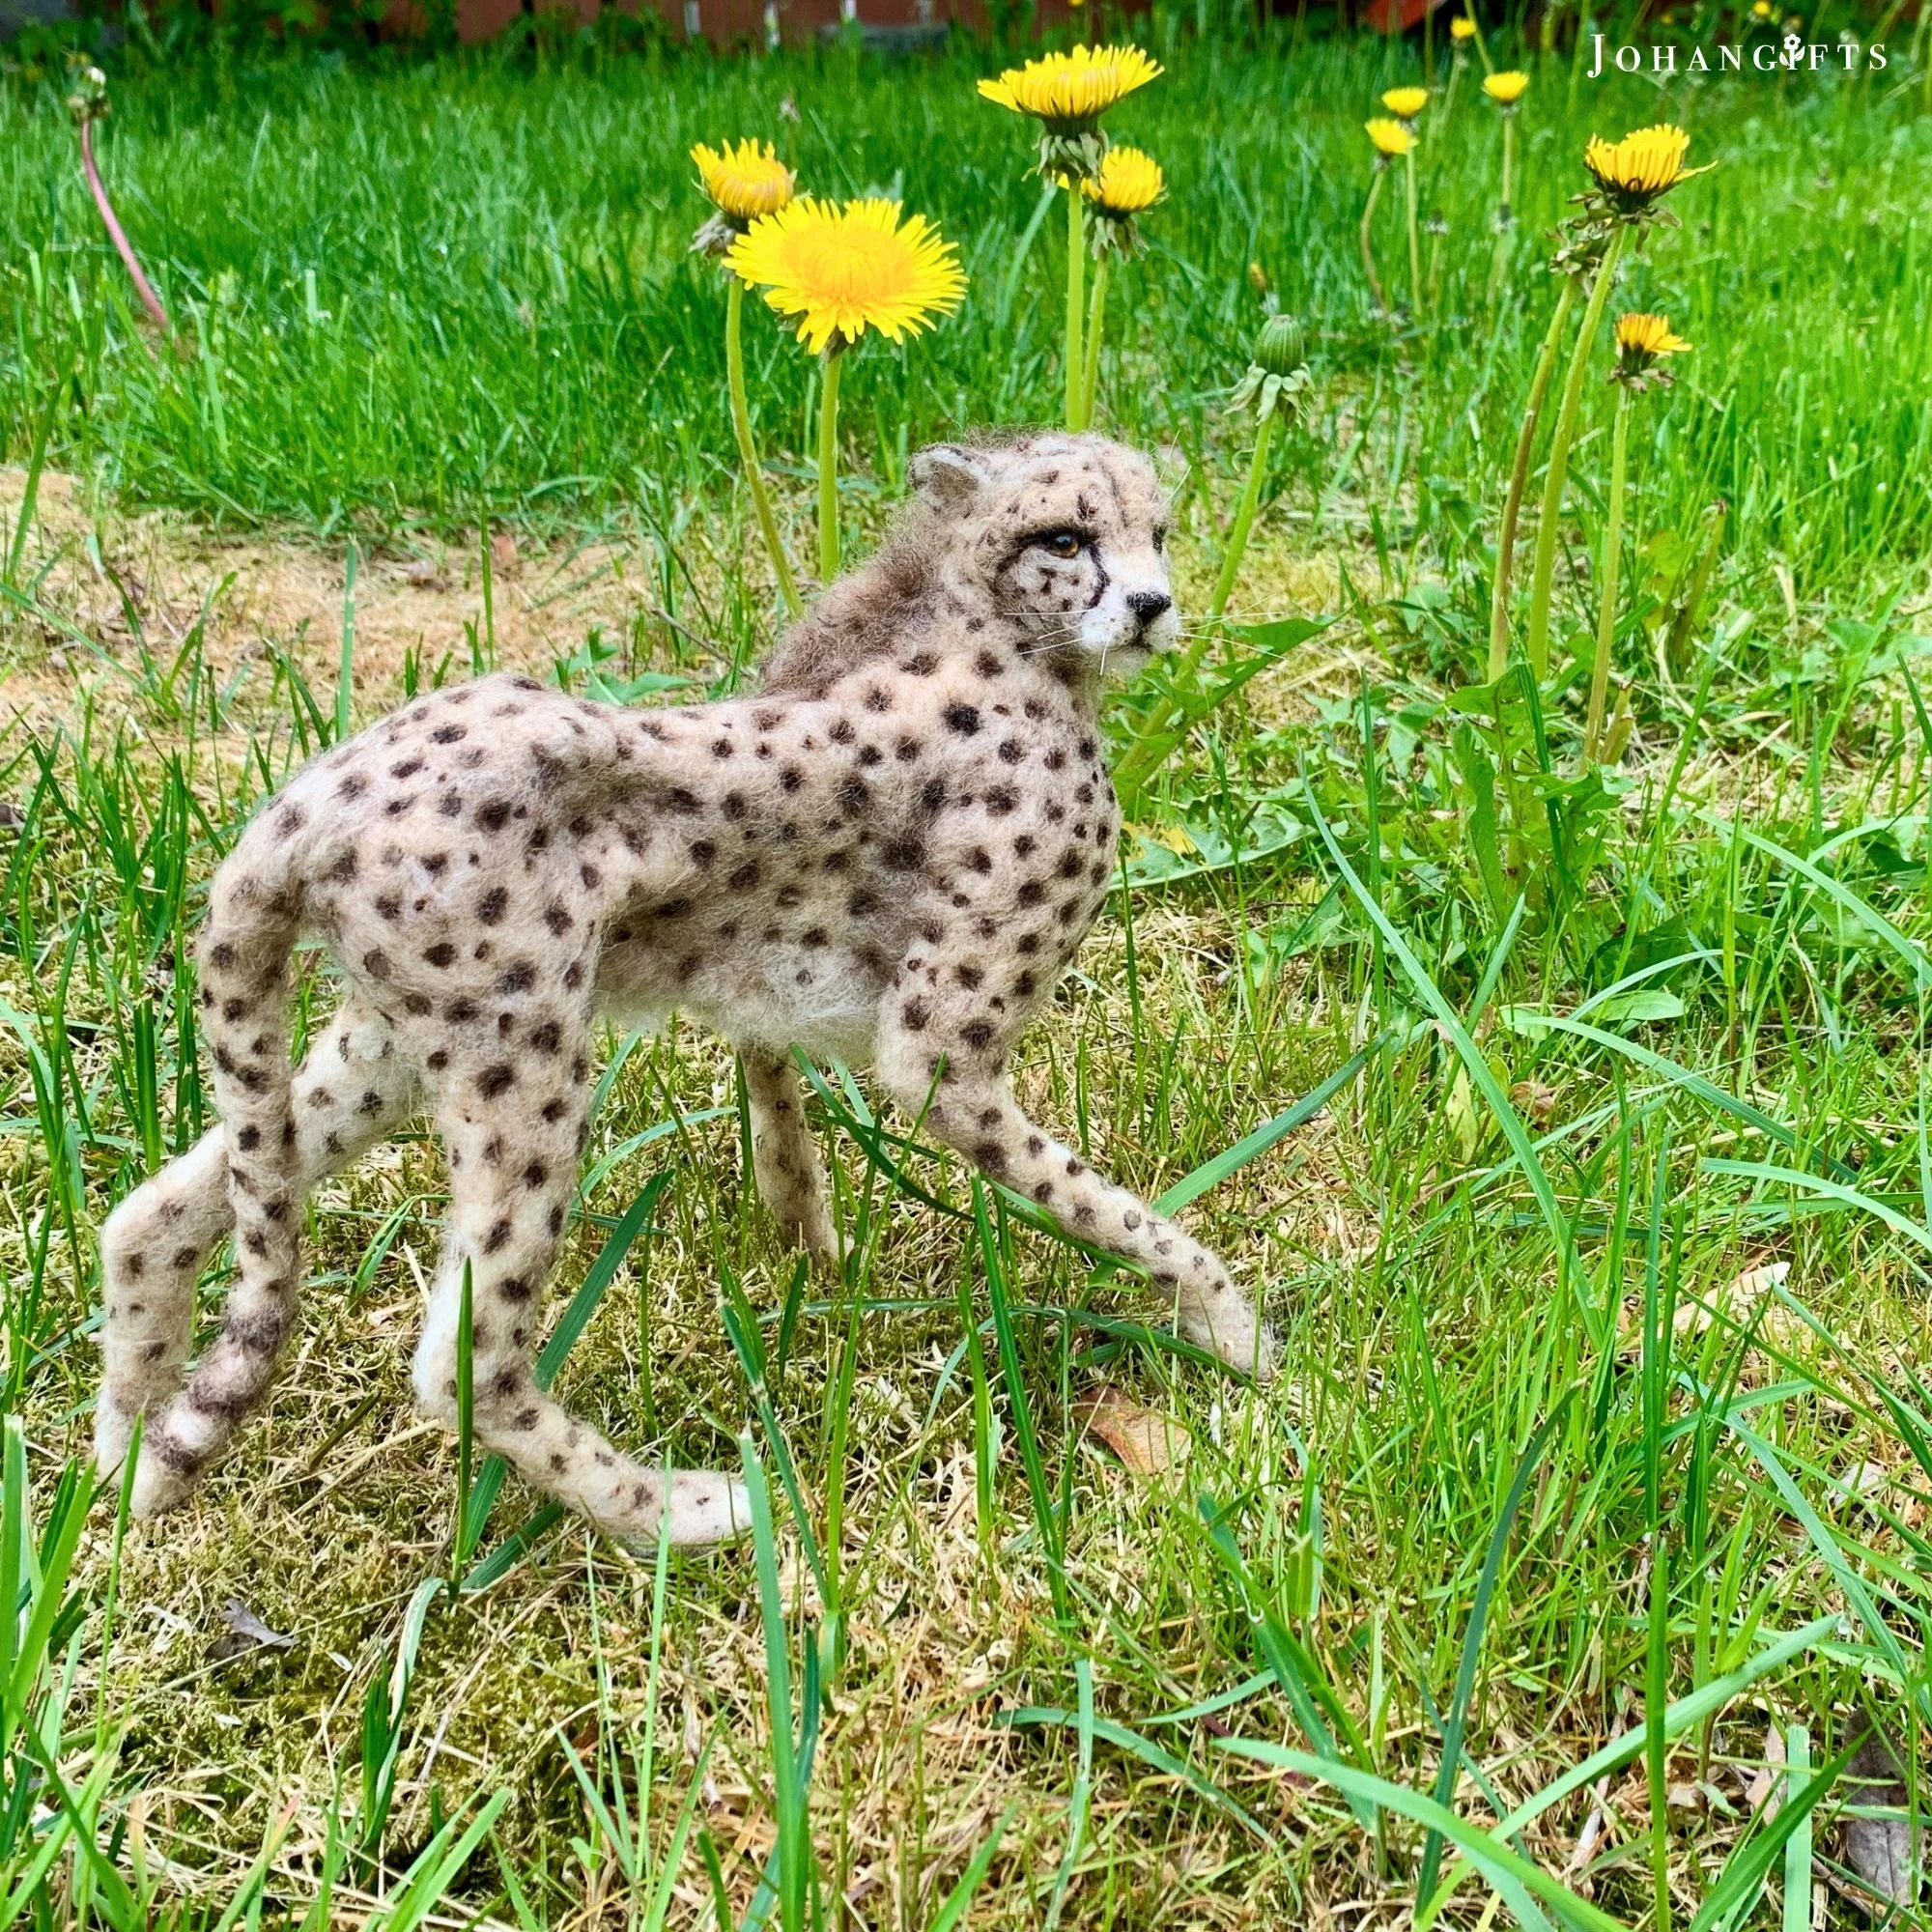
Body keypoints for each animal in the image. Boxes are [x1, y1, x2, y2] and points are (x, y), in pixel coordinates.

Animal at [92, 429, 1279, 1551]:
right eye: (1065, 538)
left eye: (1159, 534)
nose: (1151, 606)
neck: (988, 622)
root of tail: (317, 793)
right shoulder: (938, 1047)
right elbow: (1111, 1207)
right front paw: (1235, 1332)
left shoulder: (766, 991)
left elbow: (776, 1094)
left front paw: (810, 1249)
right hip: (523, 1058)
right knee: (466, 1361)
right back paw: (681, 1513)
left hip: (398, 1042)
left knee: (156, 1212)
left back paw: (117, 1470)